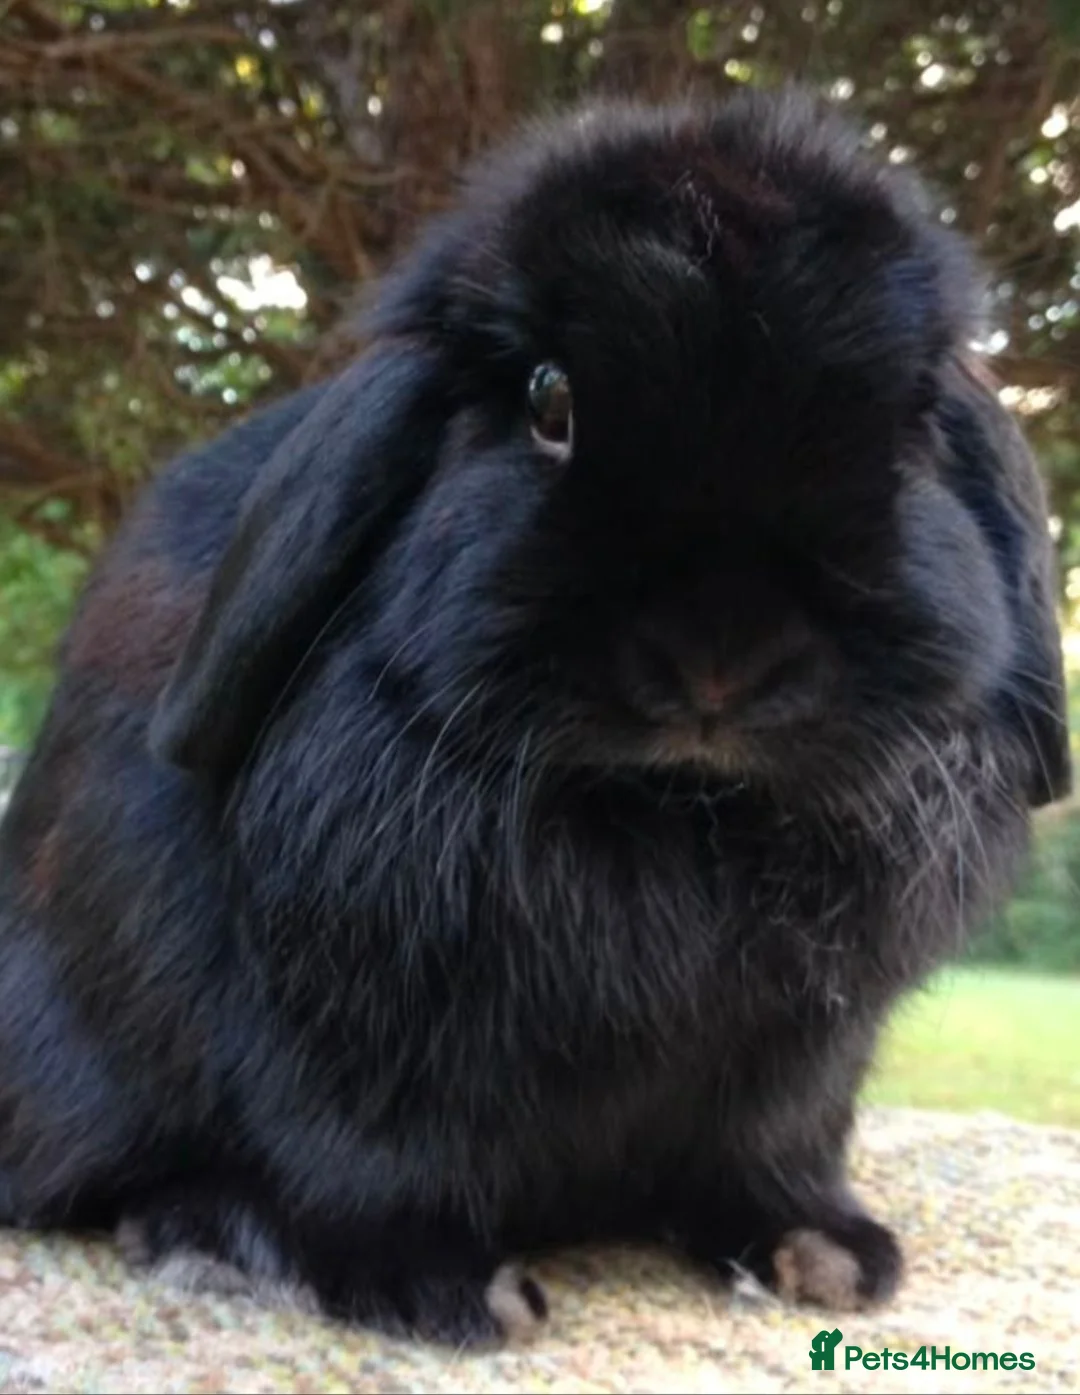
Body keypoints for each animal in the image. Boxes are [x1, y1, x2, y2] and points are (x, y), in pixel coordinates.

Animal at [0, 86, 1070, 1346]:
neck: (682, 812)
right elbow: (354, 1162)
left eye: (908, 426)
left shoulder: (804, 1065)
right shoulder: (353, 1039)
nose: (721, 660)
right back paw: (210, 1236)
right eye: (550, 403)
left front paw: (827, 1256)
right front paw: (452, 1291)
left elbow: (773, 1158)